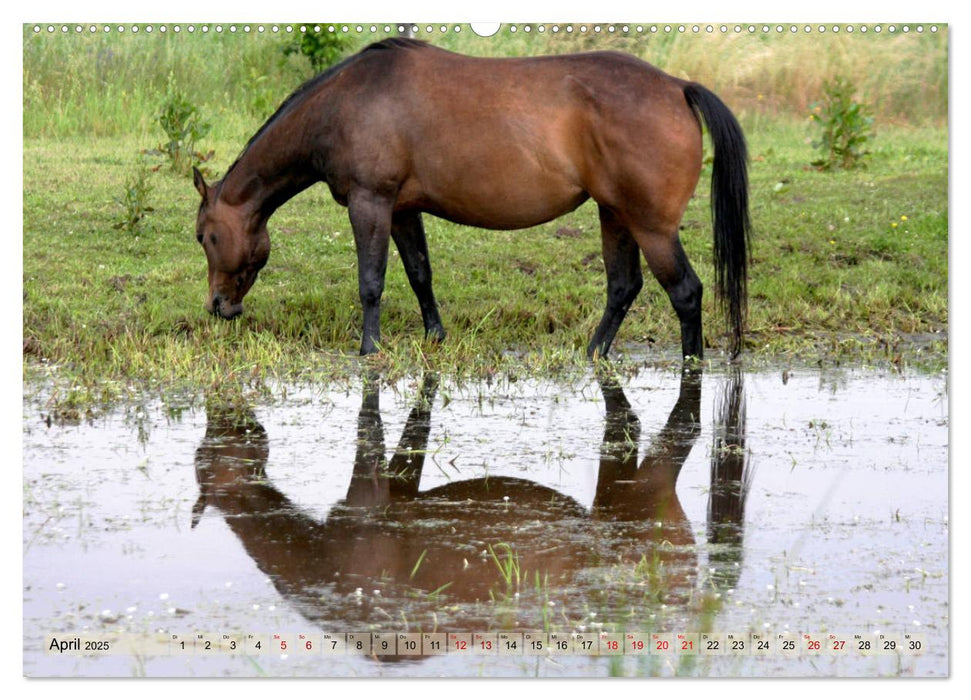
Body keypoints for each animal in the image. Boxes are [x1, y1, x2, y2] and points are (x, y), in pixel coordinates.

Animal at [192, 36, 752, 358]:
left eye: (205, 236)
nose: (218, 306)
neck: (346, 103)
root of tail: (677, 87)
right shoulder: (402, 210)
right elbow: (419, 274)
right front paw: (434, 337)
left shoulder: (370, 203)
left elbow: (371, 282)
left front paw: (369, 349)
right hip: (615, 214)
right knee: (623, 287)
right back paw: (592, 354)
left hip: (651, 226)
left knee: (685, 293)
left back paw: (691, 367)